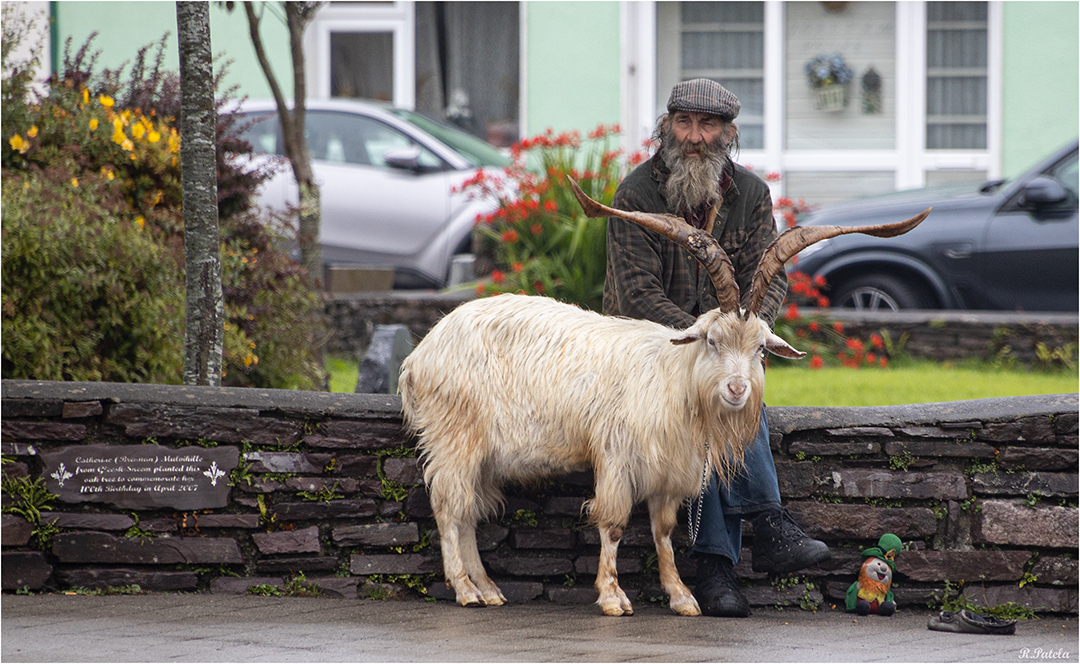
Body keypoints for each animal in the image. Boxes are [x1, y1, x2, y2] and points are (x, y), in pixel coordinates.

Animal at [399, 183, 928, 617]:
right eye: (712, 340)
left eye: (760, 350)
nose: (736, 390)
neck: (673, 379)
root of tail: (421, 354)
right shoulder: (616, 457)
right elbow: (613, 524)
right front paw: (613, 597)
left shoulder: (671, 467)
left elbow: (665, 531)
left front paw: (682, 597)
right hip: (455, 436)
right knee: (448, 508)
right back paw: (465, 589)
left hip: (483, 452)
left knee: (468, 510)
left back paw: (488, 588)